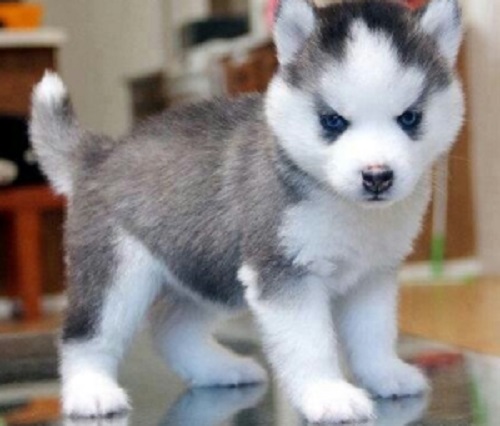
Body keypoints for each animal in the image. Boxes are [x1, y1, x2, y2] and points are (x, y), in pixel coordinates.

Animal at [29, 0, 462, 422]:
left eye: (410, 117)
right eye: (332, 121)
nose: (377, 177)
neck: (345, 207)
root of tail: (101, 153)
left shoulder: (372, 276)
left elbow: (374, 335)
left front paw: (384, 374)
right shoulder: (284, 273)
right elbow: (310, 343)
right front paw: (327, 394)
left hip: (206, 272)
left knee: (171, 328)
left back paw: (221, 369)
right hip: (117, 275)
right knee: (86, 336)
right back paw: (91, 390)